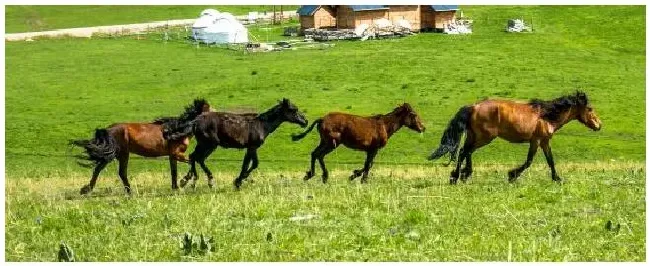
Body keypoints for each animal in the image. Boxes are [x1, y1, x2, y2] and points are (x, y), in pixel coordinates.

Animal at [71, 98, 213, 194]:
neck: (177, 130)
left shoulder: (172, 156)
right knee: (114, 171)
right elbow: (192, 161)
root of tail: (108, 130)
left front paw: (176, 187)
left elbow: (174, 172)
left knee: (106, 170)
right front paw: (184, 181)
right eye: (210, 110)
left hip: (118, 154)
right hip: (120, 154)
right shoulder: (177, 154)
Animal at [178, 97, 308, 189]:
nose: (305, 121)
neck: (261, 125)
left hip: (206, 145)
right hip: (209, 144)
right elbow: (250, 164)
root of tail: (196, 121)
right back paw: (204, 181)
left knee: (195, 157)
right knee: (197, 157)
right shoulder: (252, 147)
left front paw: (239, 180)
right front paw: (238, 181)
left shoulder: (252, 148)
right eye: (293, 110)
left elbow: (251, 163)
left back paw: (187, 180)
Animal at [292, 103, 426, 184]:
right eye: (413, 115)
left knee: (314, 154)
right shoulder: (373, 149)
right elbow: (368, 165)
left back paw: (310, 175)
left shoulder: (371, 150)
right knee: (319, 155)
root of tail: (321, 119)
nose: (423, 128)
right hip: (331, 143)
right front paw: (360, 179)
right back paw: (323, 176)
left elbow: (368, 164)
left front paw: (355, 175)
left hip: (325, 142)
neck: (384, 125)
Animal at [428, 90, 600, 184]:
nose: (599, 125)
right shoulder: (536, 141)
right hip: (484, 137)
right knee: (465, 151)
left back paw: (462, 175)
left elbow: (550, 160)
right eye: (590, 109)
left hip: (474, 136)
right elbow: (529, 161)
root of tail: (473, 107)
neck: (546, 116)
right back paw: (457, 176)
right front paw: (512, 175)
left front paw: (557, 178)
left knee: (465, 152)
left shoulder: (544, 141)